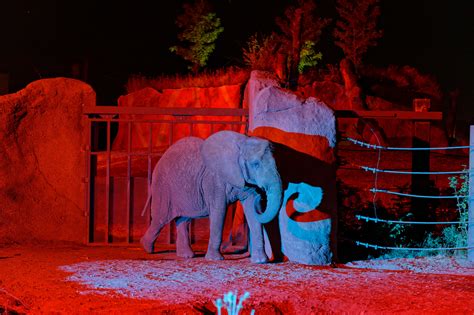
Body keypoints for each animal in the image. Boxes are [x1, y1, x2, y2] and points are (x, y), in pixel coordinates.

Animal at [140, 131, 282, 264]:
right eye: (256, 164)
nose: (261, 196)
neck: (240, 144)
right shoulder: (214, 180)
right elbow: (219, 211)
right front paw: (215, 259)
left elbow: (251, 210)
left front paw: (261, 261)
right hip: (163, 187)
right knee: (161, 218)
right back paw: (146, 248)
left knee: (184, 219)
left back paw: (186, 255)